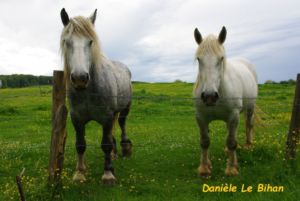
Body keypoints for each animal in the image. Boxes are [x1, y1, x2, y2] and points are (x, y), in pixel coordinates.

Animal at [59, 8, 132, 185]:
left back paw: (125, 147)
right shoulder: (77, 118)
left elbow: (105, 144)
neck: (88, 92)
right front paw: (79, 173)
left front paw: (108, 174)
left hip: (125, 108)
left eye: (90, 42)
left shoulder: (106, 117)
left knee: (122, 123)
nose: (80, 78)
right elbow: (80, 144)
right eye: (66, 41)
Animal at [193, 26, 258, 176]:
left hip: (250, 108)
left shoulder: (234, 115)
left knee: (249, 124)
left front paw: (232, 169)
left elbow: (232, 141)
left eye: (221, 58)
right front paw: (204, 168)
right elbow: (205, 141)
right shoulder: (200, 117)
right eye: (199, 59)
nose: (209, 96)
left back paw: (248, 145)